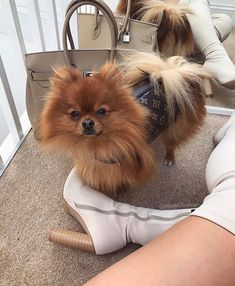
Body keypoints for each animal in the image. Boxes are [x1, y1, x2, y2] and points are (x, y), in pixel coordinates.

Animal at [39, 50, 209, 194]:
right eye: (74, 113)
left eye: (102, 111)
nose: (87, 122)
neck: (98, 144)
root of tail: (168, 76)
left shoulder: (127, 165)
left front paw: (119, 191)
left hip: (177, 127)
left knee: (172, 142)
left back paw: (169, 158)